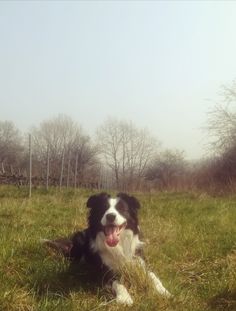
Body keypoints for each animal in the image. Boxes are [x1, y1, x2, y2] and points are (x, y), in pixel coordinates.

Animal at [43, 193, 171, 308]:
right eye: (103, 209)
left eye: (121, 209)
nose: (110, 216)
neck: (118, 246)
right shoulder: (105, 271)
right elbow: (117, 282)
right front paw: (125, 298)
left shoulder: (139, 262)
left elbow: (153, 276)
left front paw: (163, 291)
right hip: (79, 238)